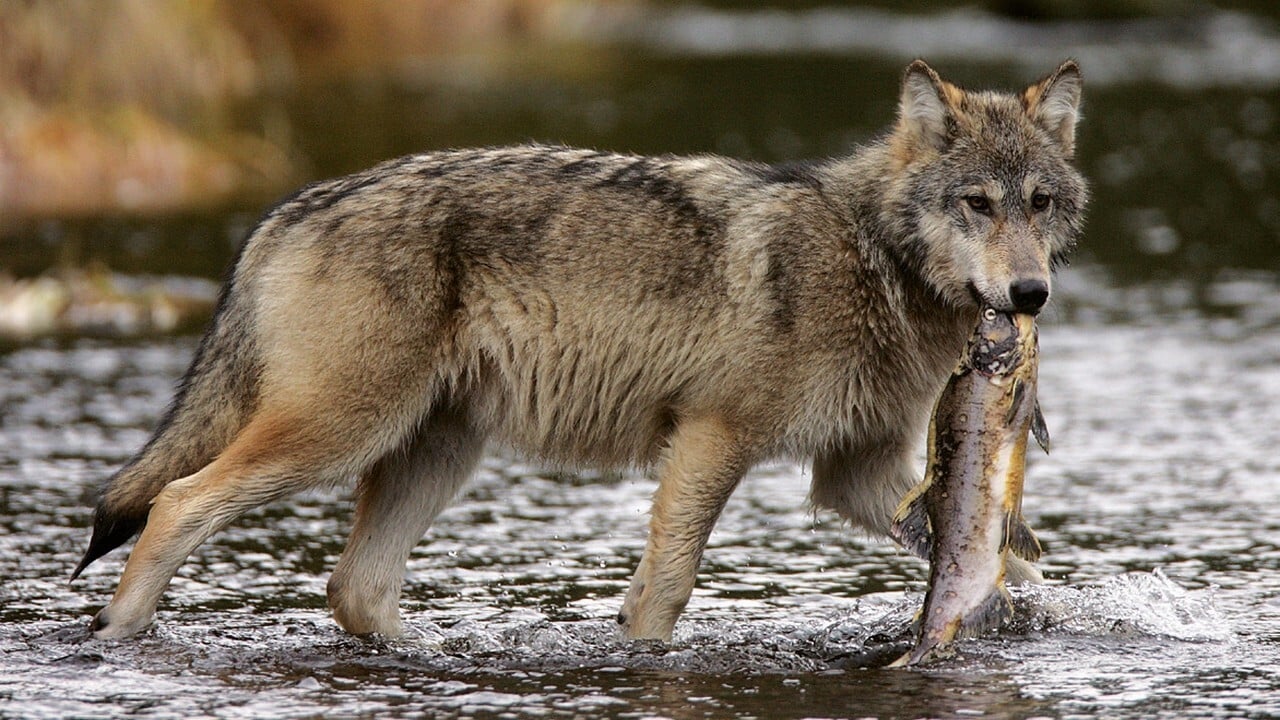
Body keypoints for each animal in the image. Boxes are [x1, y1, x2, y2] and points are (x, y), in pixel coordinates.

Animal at [72, 58, 1090, 635]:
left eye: (1040, 203)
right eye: (977, 204)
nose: (1029, 294)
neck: (873, 256)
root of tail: (283, 214)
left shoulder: (854, 474)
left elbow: (1015, 560)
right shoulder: (712, 438)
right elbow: (666, 589)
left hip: (435, 454)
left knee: (354, 588)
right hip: (337, 438)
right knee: (176, 502)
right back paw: (116, 639)